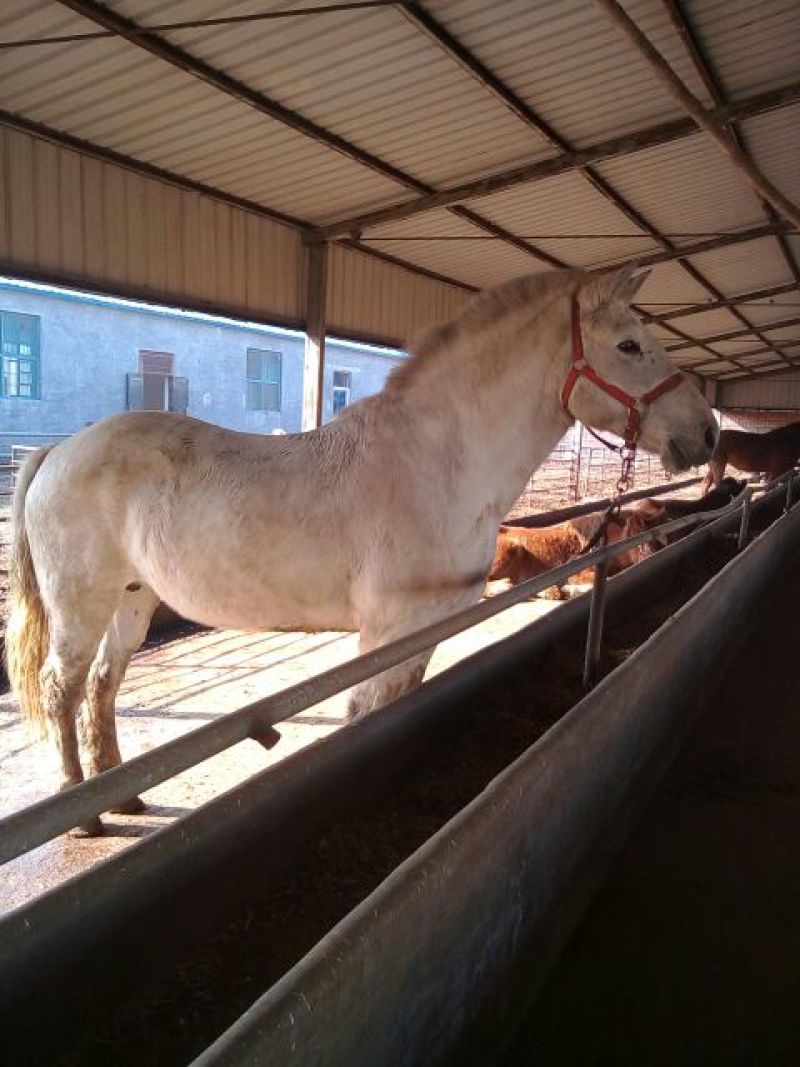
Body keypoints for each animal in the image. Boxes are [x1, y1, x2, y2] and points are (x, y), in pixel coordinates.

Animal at [5, 262, 716, 835]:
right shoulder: (388, 628)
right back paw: (86, 815)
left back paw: (121, 797)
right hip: (80, 605)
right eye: (629, 345)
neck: (433, 461)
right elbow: (363, 715)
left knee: (103, 684)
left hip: (132, 600)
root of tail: (58, 452)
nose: (707, 433)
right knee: (64, 687)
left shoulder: (422, 631)